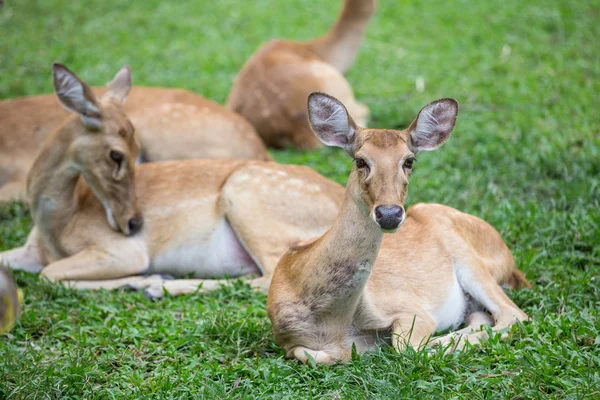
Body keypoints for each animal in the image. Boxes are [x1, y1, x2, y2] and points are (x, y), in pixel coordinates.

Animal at [268, 92, 528, 364]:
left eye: (409, 160)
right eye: (360, 160)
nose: (389, 214)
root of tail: (507, 256)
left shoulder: (412, 310)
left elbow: (406, 346)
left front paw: (435, 344)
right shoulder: (291, 343)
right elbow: (310, 354)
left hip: (470, 258)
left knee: (514, 314)